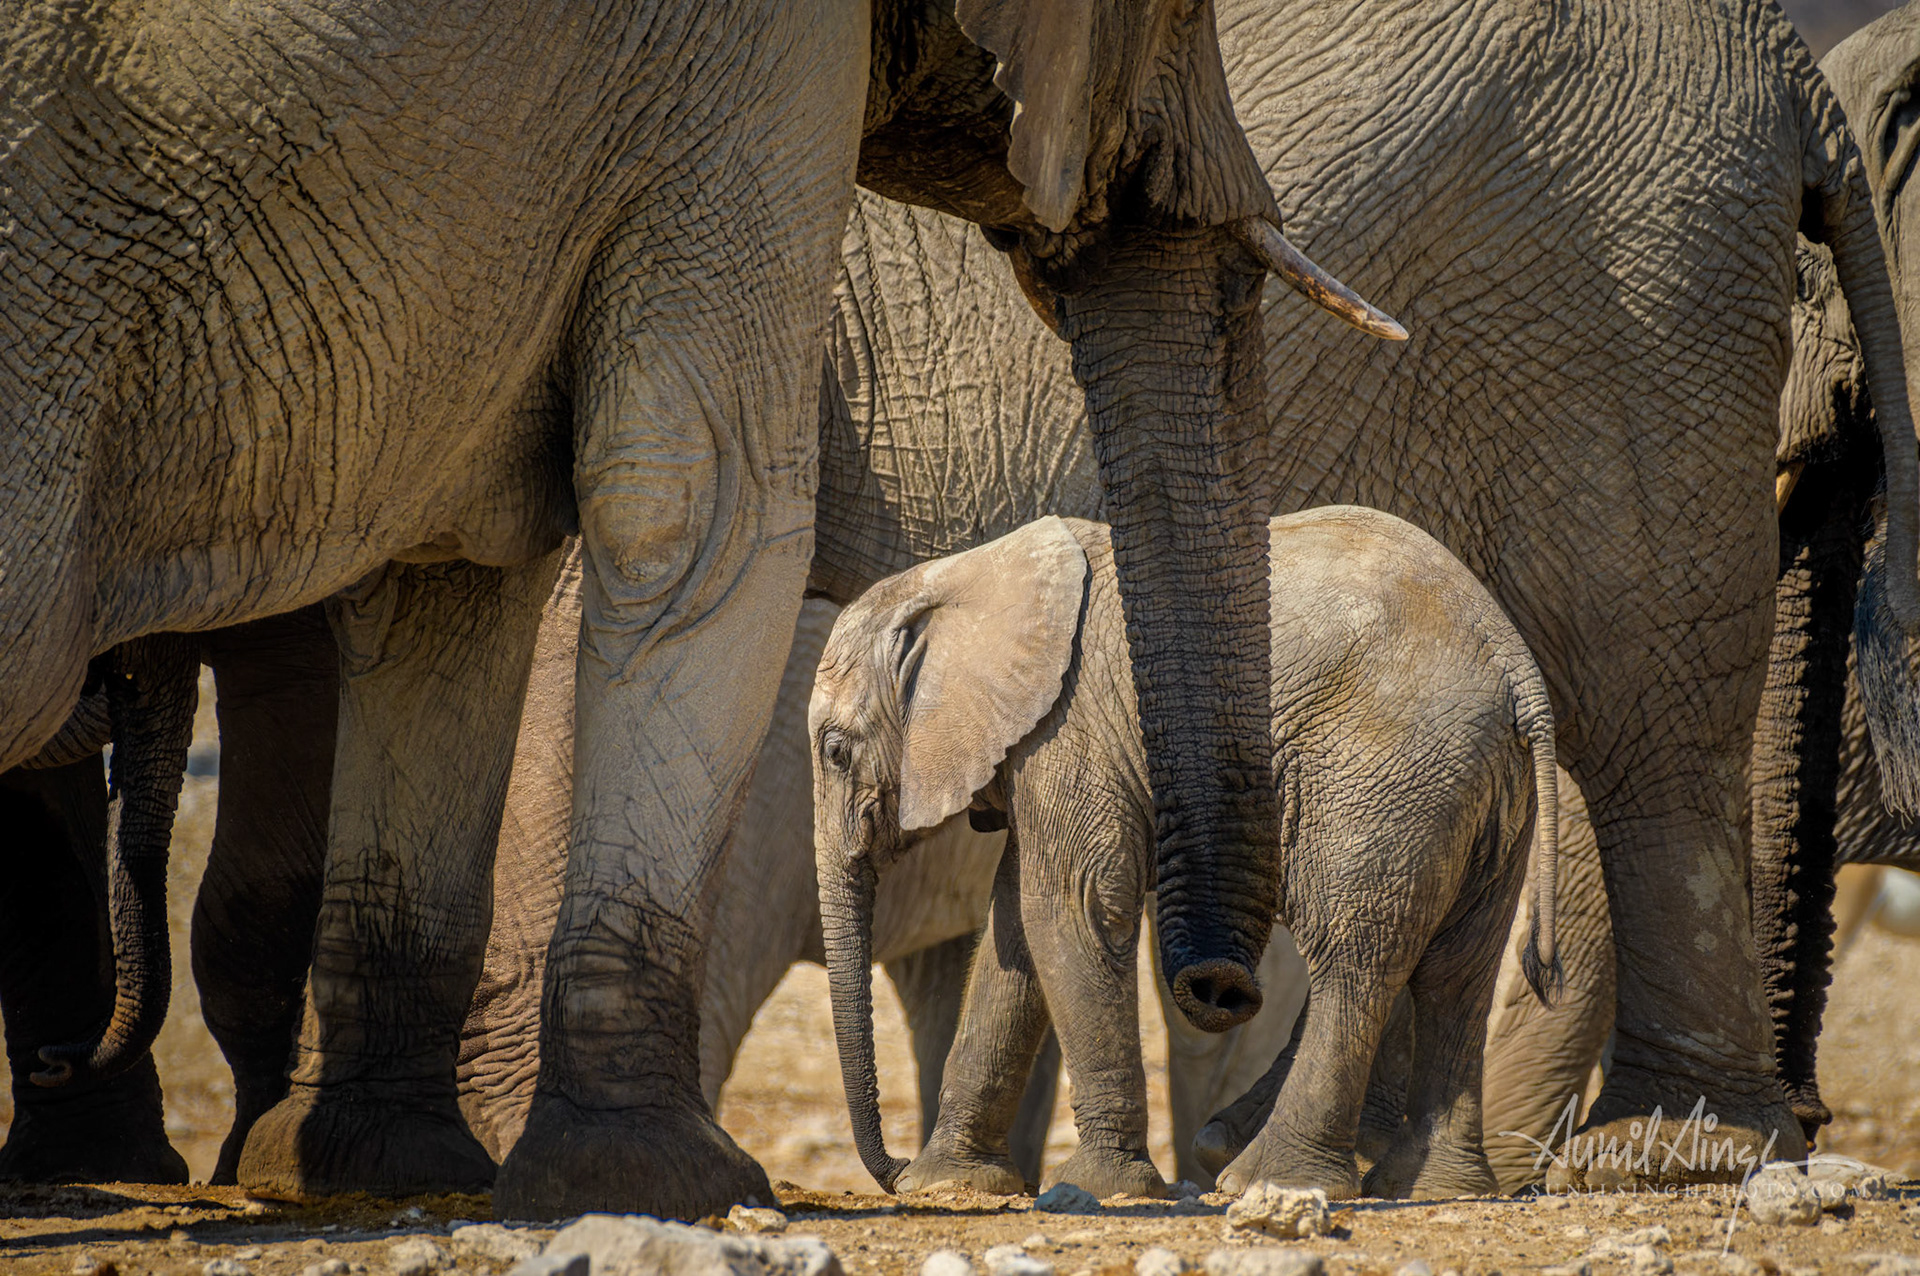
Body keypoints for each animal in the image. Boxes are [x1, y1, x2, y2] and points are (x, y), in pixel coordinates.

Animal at [0, 0, 1397, 1217]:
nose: (1216, 982)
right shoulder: (765, 79)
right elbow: (705, 509)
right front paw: (663, 1182)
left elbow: (456, 570)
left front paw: (372, 1168)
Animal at [810, 510, 1561, 1201]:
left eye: (835, 751)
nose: (890, 1172)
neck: (965, 576)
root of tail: (1513, 662)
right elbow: (1014, 931)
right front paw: (948, 1186)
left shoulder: (1071, 724)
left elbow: (1073, 910)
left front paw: (1098, 1192)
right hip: (1481, 788)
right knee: (1457, 970)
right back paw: (1435, 1189)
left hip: (1384, 769)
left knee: (1355, 959)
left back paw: (1267, 1180)